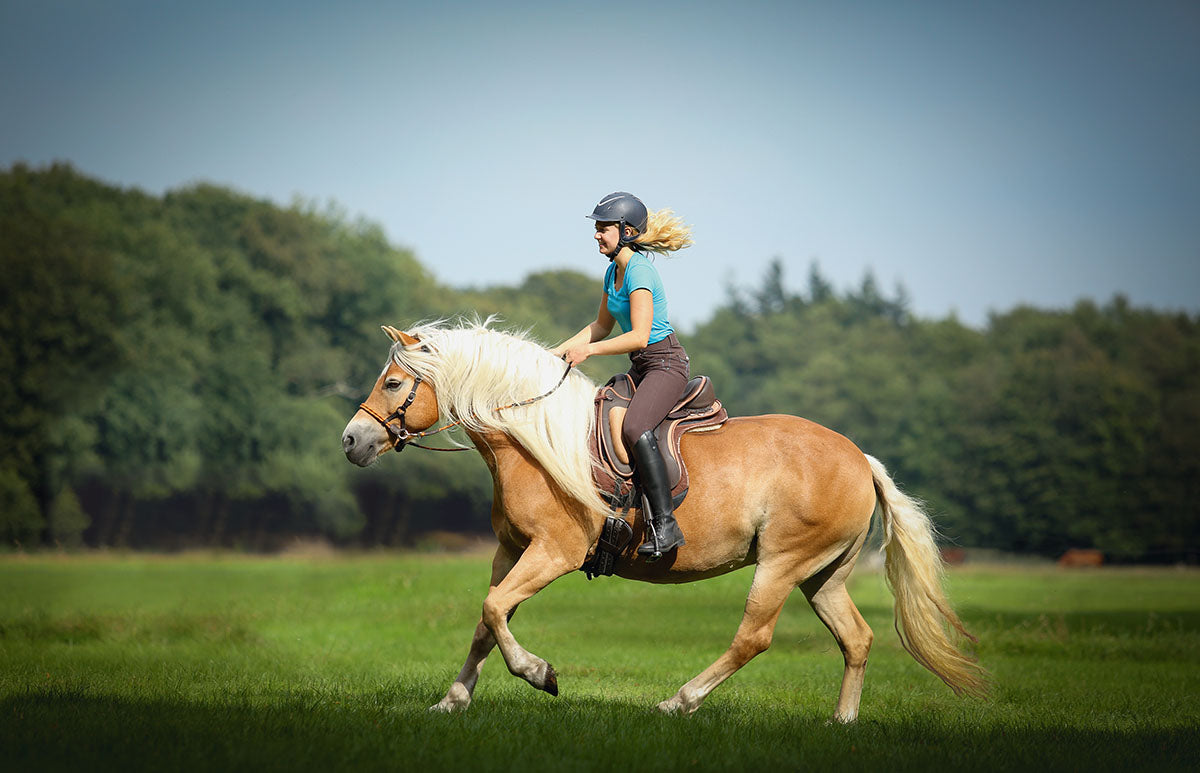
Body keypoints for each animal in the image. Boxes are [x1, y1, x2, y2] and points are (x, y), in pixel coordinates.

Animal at [338, 319, 984, 720]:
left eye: (392, 382)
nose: (351, 440)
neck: (533, 439)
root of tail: (859, 458)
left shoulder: (553, 552)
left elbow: (495, 611)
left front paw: (539, 673)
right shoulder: (512, 550)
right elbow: (485, 620)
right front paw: (452, 701)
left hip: (782, 564)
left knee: (753, 637)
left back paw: (680, 701)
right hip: (823, 575)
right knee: (857, 638)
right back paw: (842, 722)